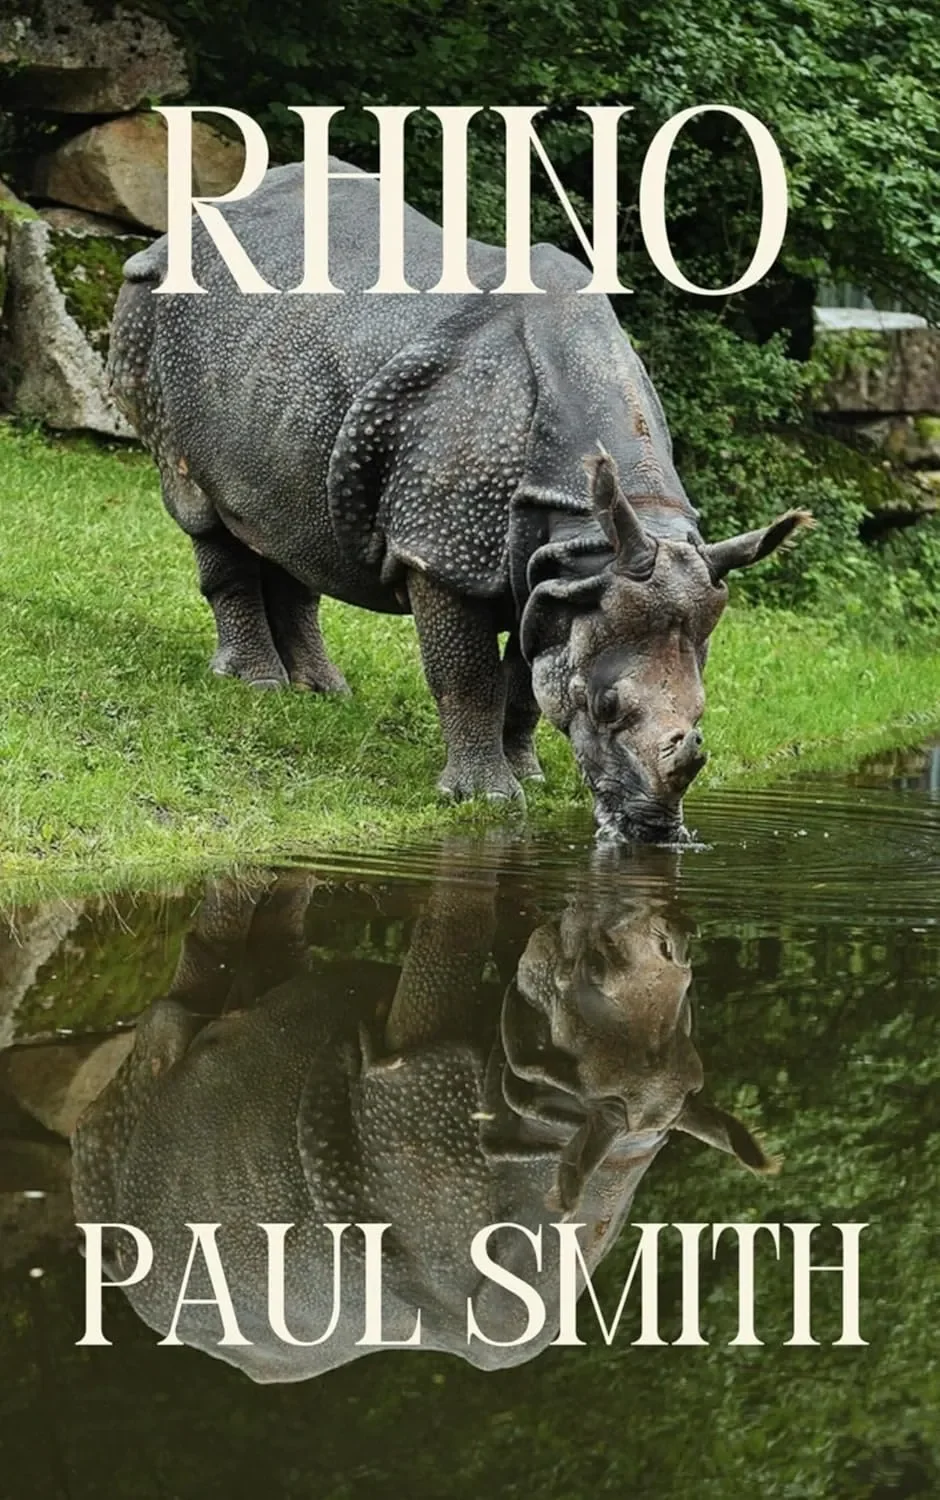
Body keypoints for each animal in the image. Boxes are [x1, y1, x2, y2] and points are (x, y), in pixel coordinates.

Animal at [71, 858, 776, 1380]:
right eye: (602, 966)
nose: (676, 936)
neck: (563, 1121)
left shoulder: (415, 1075)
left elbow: (453, 938)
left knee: (168, 1037)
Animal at [108, 161, 810, 842]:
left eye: (704, 714)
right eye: (608, 707)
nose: (655, 832)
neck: (592, 534)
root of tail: (175, 231)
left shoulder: (555, 575)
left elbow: (527, 683)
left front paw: (531, 776)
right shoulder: (444, 552)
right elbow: (468, 675)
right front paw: (487, 799)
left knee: (290, 525)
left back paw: (323, 694)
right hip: (157, 316)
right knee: (201, 508)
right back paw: (257, 688)